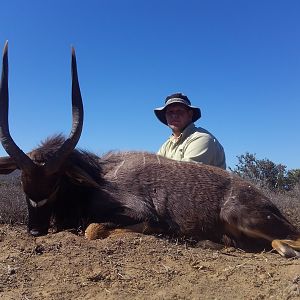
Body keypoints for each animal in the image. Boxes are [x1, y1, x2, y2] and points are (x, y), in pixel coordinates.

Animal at [0, 42, 300, 258]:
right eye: (24, 181)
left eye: (56, 182)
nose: (35, 230)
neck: (98, 178)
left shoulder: (143, 215)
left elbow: (93, 230)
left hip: (241, 217)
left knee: (290, 239)